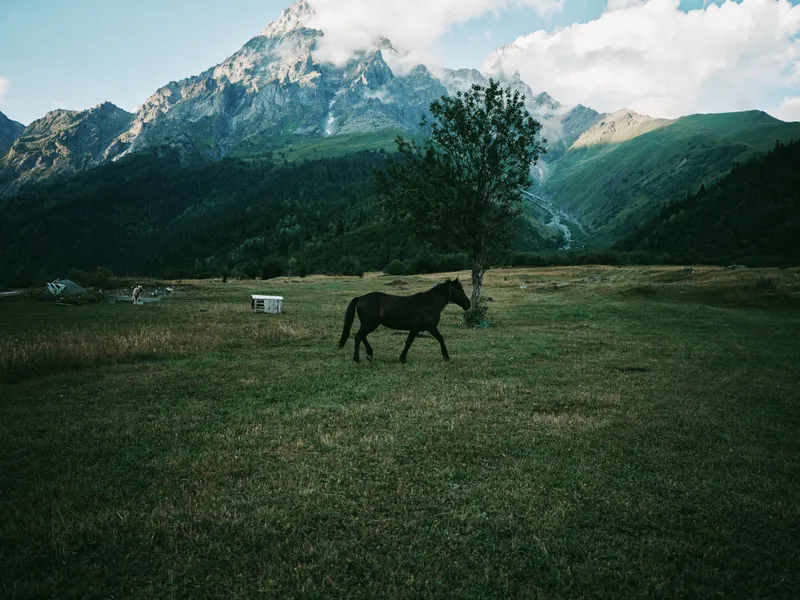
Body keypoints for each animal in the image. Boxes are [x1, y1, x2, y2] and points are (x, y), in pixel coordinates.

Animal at [338, 278, 471, 363]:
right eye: (459, 290)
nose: (468, 304)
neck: (429, 303)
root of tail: (360, 298)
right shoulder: (431, 327)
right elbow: (440, 338)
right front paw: (446, 356)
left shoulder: (415, 329)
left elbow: (408, 342)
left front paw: (402, 358)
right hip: (370, 324)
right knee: (358, 336)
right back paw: (357, 359)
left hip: (369, 324)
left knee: (362, 336)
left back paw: (370, 354)